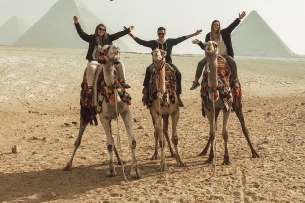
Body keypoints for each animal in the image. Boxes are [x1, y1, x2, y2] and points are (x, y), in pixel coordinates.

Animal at [63, 44, 141, 179]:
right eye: (105, 49)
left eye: (113, 45)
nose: (116, 48)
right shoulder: (103, 116)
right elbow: (109, 144)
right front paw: (111, 170)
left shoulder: (125, 112)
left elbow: (132, 141)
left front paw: (134, 171)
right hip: (85, 112)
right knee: (78, 140)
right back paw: (68, 165)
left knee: (112, 139)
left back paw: (120, 160)